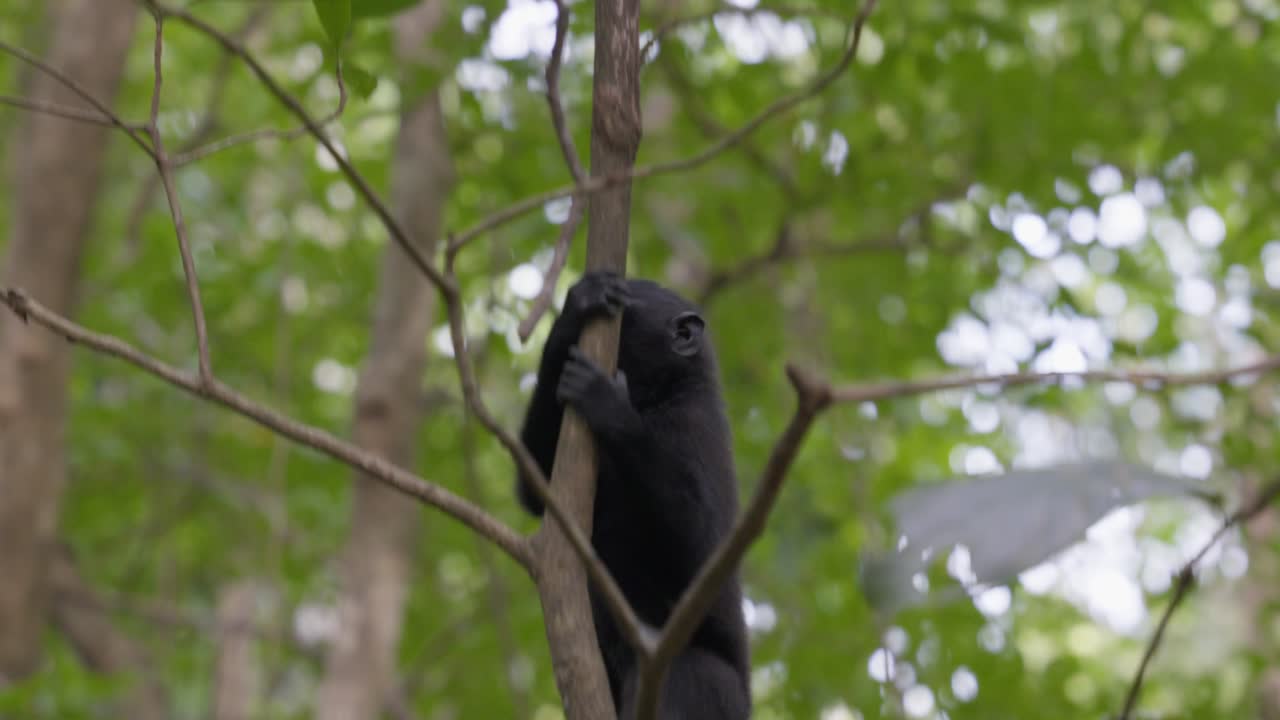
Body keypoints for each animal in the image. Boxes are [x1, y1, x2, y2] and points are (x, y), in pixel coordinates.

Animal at [516, 270, 751, 719]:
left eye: (629, 315)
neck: (663, 395)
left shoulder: (693, 427)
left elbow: (699, 550)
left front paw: (606, 402)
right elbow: (535, 489)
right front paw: (575, 311)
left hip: (712, 691)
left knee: (687, 670)